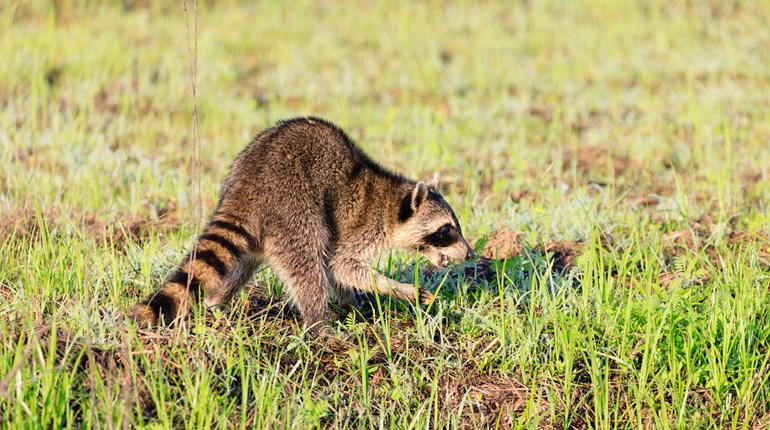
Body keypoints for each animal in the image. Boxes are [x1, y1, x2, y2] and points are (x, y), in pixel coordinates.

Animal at [132, 117, 475, 336]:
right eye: (447, 230)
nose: (471, 254)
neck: (391, 200)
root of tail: (247, 185)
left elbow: (338, 273)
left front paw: (352, 303)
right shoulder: (359, 226)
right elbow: (340, 265)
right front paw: (398, 289)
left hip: (261, 226)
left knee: (240, 263)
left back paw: (217, 302)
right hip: (295, 208)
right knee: (308, 262)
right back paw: (318, 326)